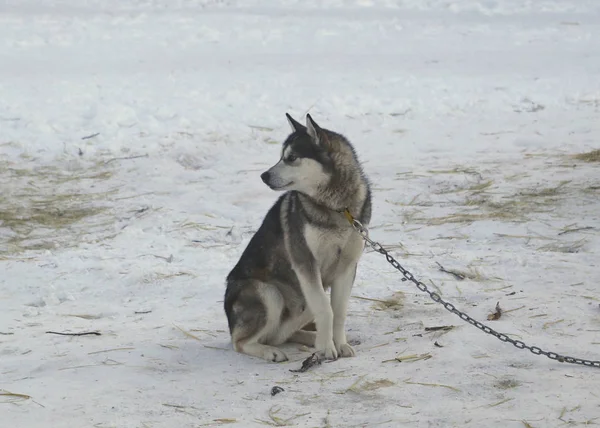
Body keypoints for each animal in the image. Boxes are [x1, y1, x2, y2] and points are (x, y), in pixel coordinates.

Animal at [225, 113, 370, 362]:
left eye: (291, 157)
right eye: (281, 156)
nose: (264, 175)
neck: (336, 208)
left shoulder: (347, 265)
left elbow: (338, 311)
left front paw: (339, 344)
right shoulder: (305, 262)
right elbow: (326, 308)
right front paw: (326, 348)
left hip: (301, 301)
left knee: (279, 335)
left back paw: (310, 338)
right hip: (269, 293)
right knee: (241, 342)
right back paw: (271, 351)